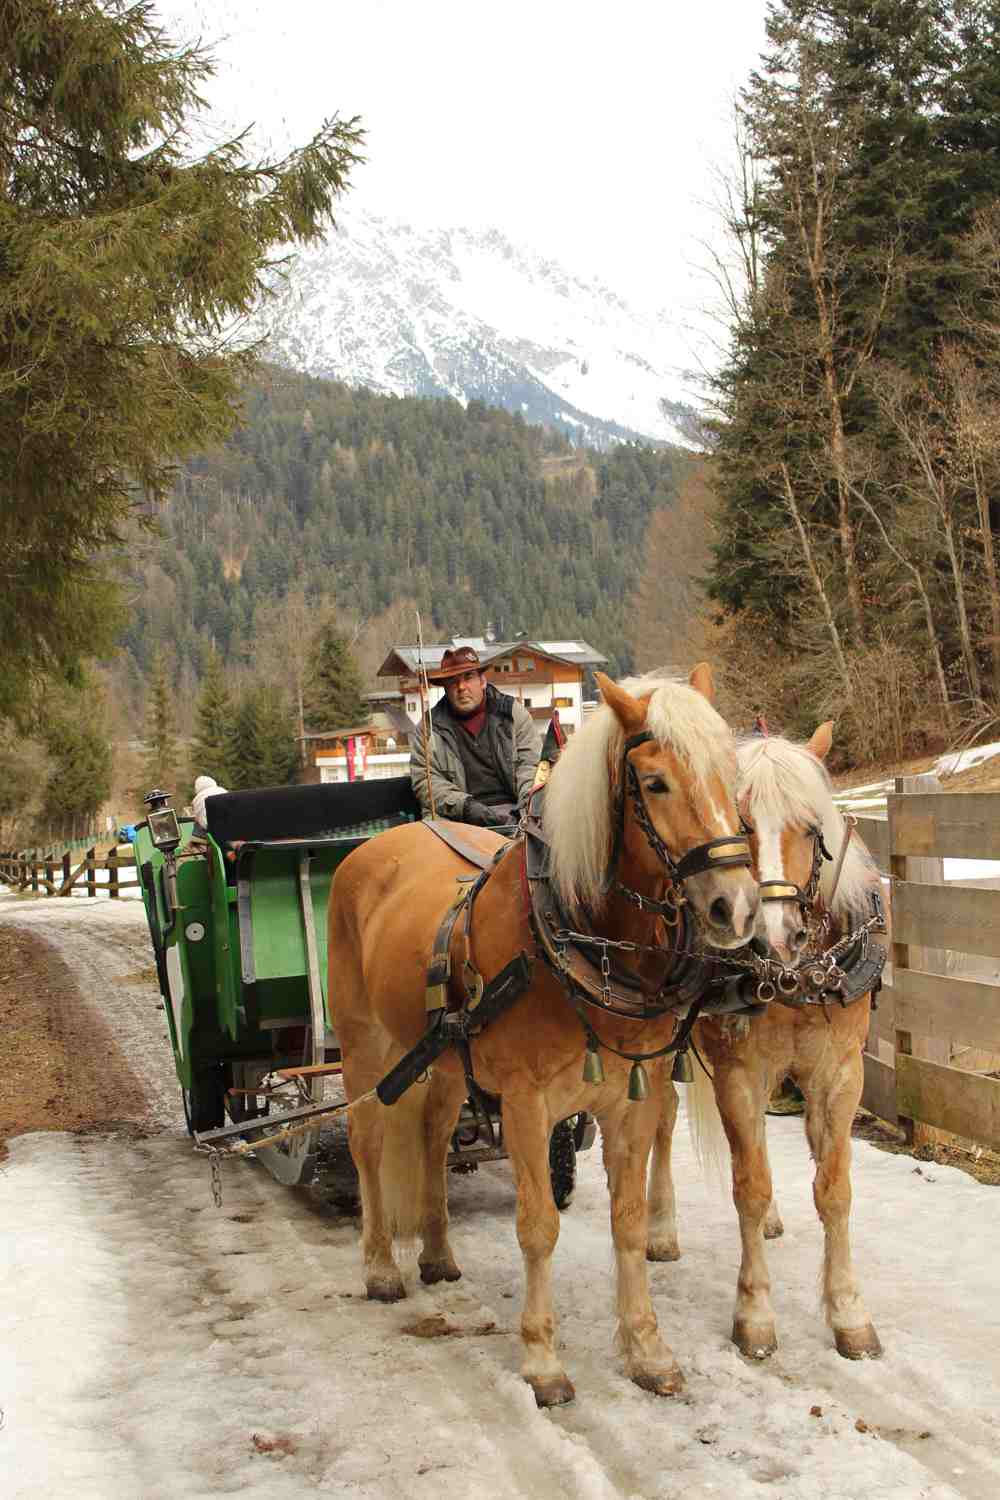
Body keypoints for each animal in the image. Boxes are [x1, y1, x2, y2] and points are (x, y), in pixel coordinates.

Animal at [328, 669, 758, 1404]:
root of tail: (371, 851)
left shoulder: (631, 1099)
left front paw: (646, 1348)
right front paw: (541, 1358)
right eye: (654, 782)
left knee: (434, 1136)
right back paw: (382, 1266)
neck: (578, 942)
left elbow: (628, 1219)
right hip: (366, 1049)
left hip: (446, 1061)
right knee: (371, 1143)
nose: (738, 906)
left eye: (730, 772)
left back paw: (437, 1253)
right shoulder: (527, 1105)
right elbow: (537, 1227)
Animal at [650, 720, 881, 1368]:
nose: (776, 934)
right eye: (741, 824)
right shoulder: (737, 1073)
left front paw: (849, 1311)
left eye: (811, 827)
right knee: (660, 1121)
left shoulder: (840, 1073)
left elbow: (834, 1189)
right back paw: (659, 1228)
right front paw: (754, 1313)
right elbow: (748, 1187)